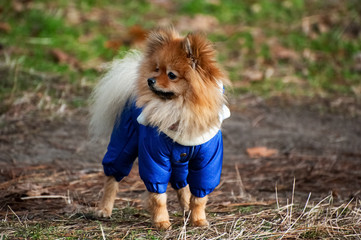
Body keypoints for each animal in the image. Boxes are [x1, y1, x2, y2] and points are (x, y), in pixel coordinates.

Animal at [90, 27, 231, 230]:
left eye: (171, 75)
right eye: (156, 69)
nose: (150, 80)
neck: (179, 109)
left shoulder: (206, 160)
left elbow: (199, 196)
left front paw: (198, 219)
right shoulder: (154, 157)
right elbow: (158, 196)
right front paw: (161, 221)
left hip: (180, 160)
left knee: (181, 183)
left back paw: (186, 208)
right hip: (125, 142)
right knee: (113, 176)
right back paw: (104, 209)